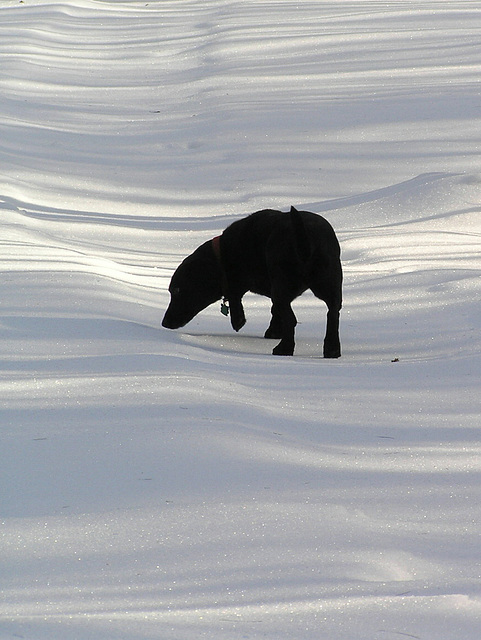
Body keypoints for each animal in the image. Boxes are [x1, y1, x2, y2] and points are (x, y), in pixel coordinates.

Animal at [162, 210, 342, 360]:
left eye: (177, 290)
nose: (164, 323)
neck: (222, 253)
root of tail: (305, 238)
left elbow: (236, 297)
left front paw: (239, 321)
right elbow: (274, 311)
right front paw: (273, 331)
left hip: (283, 290)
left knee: (292, 320)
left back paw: (284, 349)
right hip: (330, 286)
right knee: (332, 314)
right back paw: (332, 349)